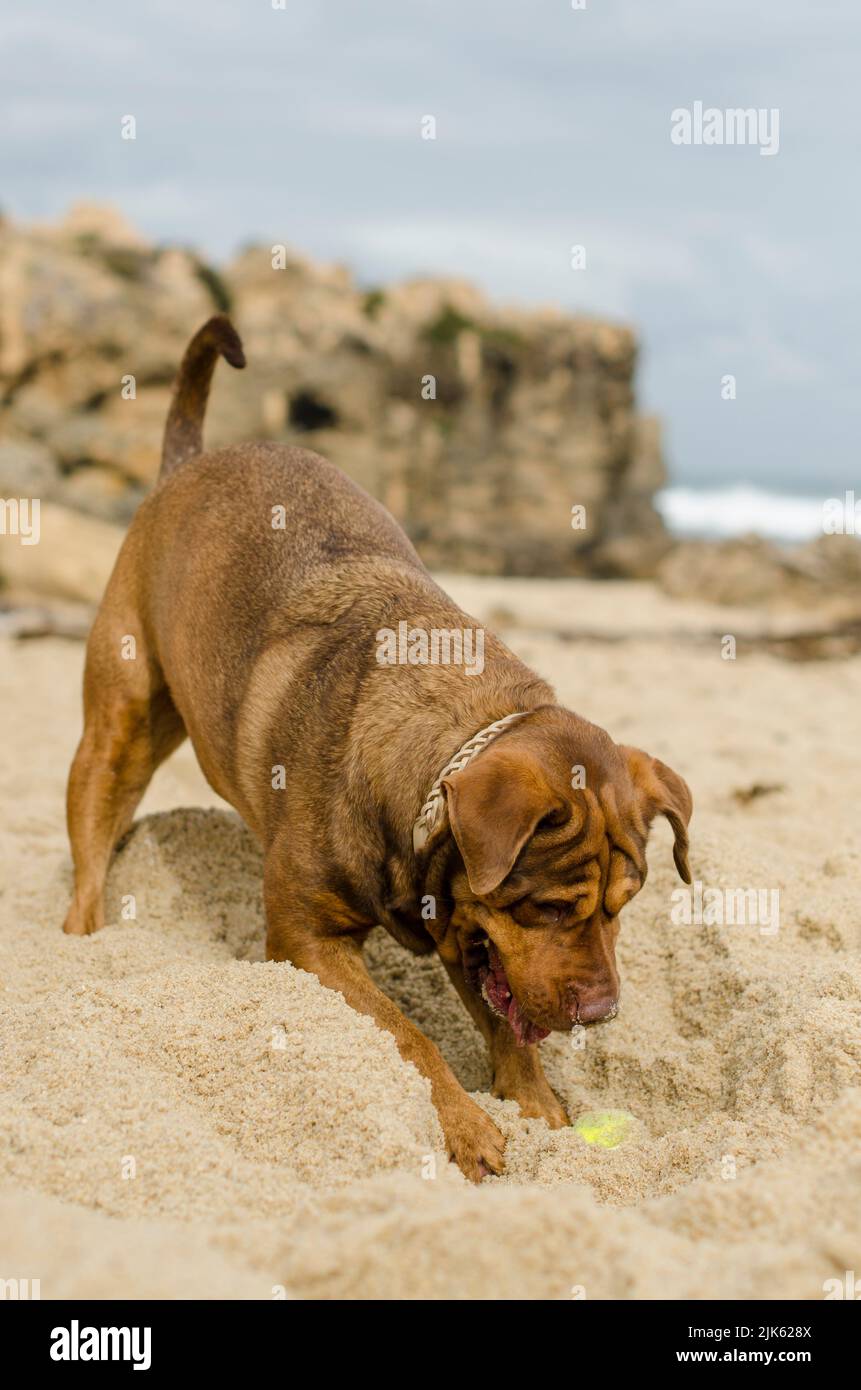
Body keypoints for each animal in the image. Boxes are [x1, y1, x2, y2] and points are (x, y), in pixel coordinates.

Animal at [63, 319, 689, 1178]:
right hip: (118, 722)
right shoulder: (306, 940)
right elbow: (406, 1033)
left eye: (623, 909)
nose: (602, 1012)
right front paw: (464, 1124)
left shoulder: (466, 931)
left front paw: (533, 1102)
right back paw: (82, 942)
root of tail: (187, 464)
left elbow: (502, 1023)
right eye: (549, 907)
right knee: (92, 850)